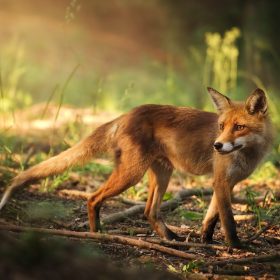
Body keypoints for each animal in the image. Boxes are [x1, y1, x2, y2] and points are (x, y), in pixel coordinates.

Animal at [0, 87, 272, 247]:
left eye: (239, 127)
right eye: (221, 126)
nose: (217, 145)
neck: (248, 154)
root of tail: (127, 114)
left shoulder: (224, 183)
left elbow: (211, 218)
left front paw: (205, 241)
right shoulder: (221, 181)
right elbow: (228, 221)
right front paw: (236, 248)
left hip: (162, 174)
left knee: (149, 211)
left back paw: (169, 238)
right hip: (132, 175)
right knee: (93, 198)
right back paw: (95, 234)